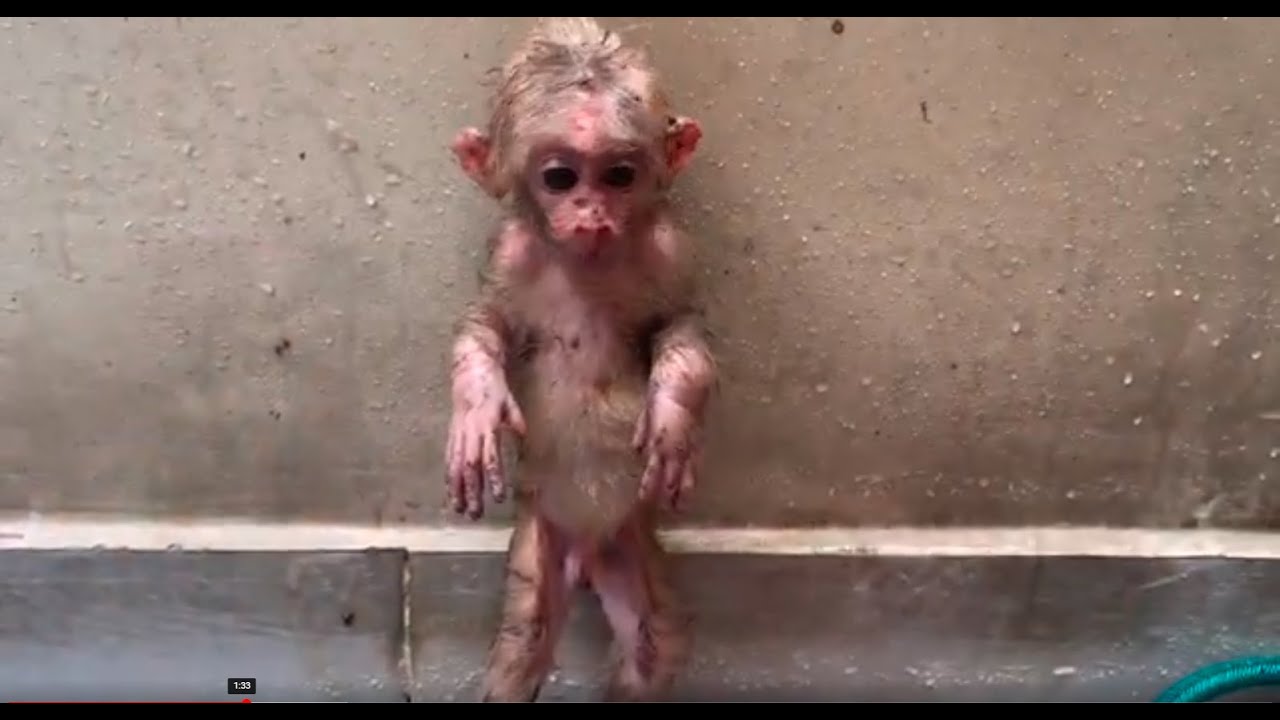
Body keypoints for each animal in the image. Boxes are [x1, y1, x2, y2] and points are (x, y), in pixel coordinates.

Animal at [443, 17, 716, 702]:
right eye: (560, 178)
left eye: (618, 174)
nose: (591, 214)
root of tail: (589, 551)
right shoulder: (512, 251)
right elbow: (483, 325)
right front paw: (476, 410)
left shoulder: (669, 249)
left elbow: (681, 329)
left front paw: (672, 418)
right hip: (543, 534)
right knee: (526, 636)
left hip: (629, 544)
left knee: (652, 645)